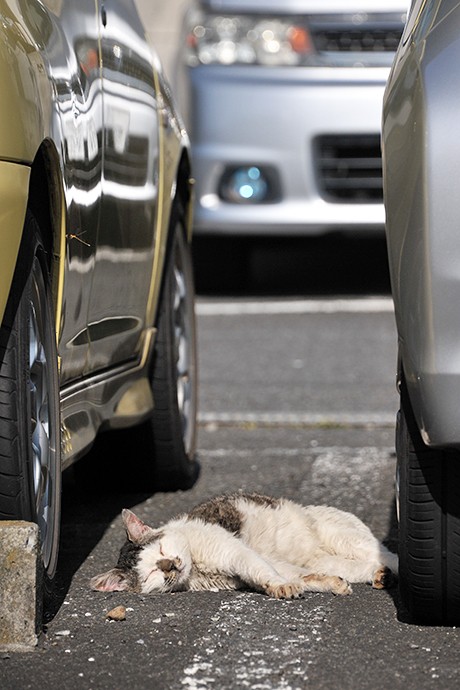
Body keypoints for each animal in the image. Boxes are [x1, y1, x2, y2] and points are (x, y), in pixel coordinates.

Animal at [91, 490, 398, 596]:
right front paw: (329, 585)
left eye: (162, 551)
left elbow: (262, 570)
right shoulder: (267, 568)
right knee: (359, 567)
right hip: (330, 558)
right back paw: (379, 576)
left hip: (345, 537)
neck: (196, 568)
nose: (170, 565)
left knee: (388, 554)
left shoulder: (235, 551)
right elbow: (299, 577)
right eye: (153, 572)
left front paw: (283, 588)